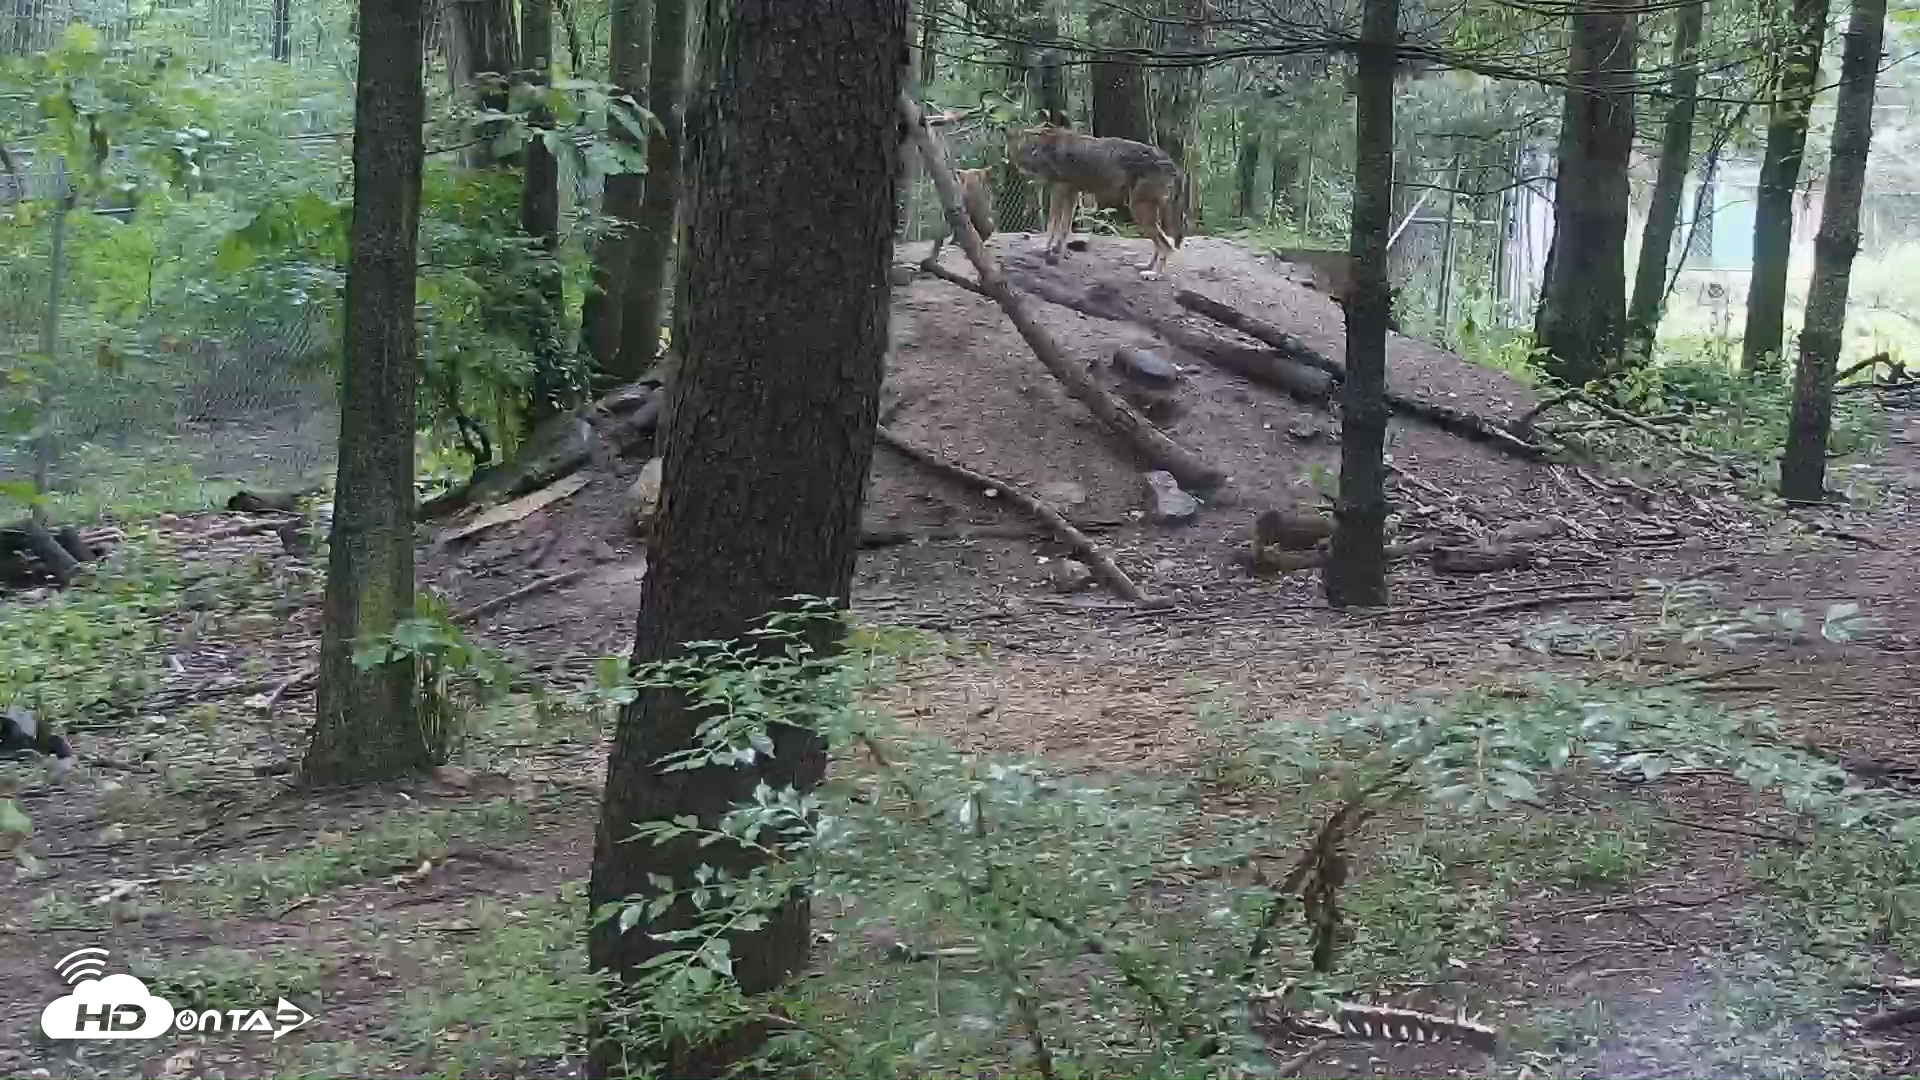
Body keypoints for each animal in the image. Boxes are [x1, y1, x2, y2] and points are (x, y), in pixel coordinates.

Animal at [1007, 116, 1181, 277]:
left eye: (1025, 150)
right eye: (1017, 152)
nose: (1019, 167)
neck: (1051, 147)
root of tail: (1169, 160)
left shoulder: (1060, 190)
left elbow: (1052, 225)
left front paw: (1044, 247)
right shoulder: (1072, 192)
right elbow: (1064, 227)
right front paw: (1057, 248)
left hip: (1139, 209)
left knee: (1167, 245)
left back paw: (1155, 274)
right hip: (1149, 212)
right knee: (1163, 242)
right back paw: (1147, 266)